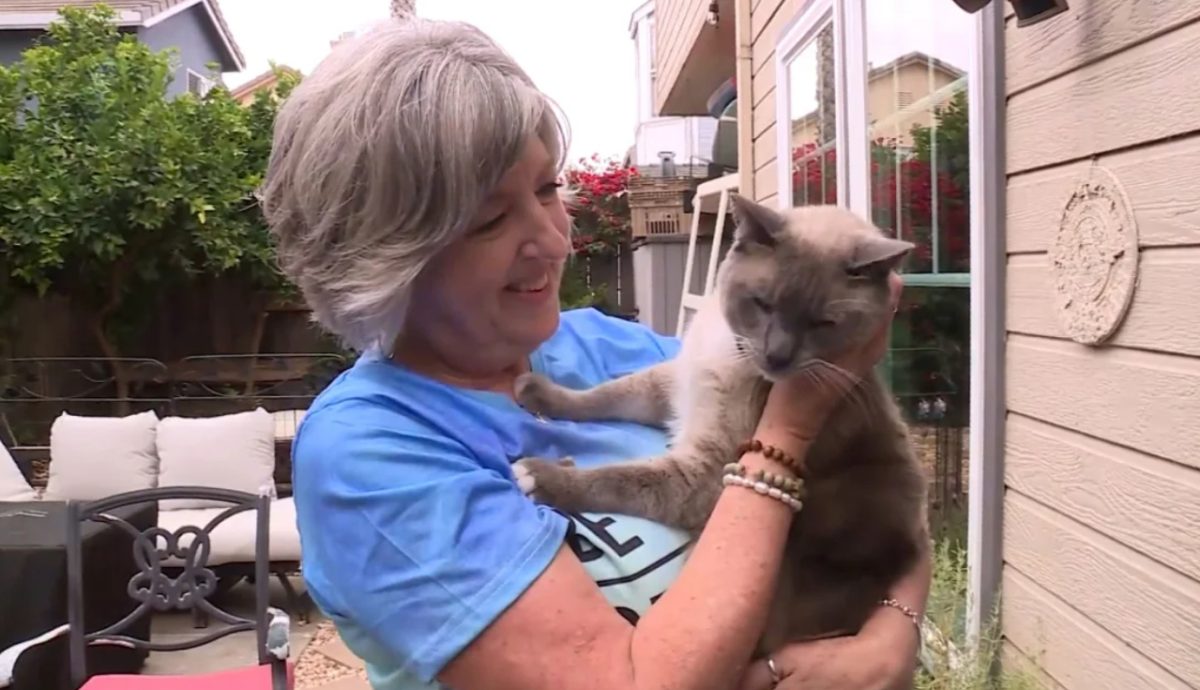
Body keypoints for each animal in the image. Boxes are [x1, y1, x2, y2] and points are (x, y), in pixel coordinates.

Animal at [511, 195, 931, 652]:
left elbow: (616, 478)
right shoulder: (673, 387)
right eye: (763, 304)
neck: (733, 354)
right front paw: (533, 392)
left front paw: (536, 474)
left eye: (822, 323)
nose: (777, 356)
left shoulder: (706, 471)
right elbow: (604, 395)